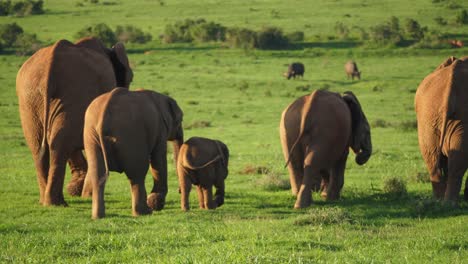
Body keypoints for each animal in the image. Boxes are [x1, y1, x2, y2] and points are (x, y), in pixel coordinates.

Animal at [15, 37, 133, 206]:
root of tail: (50, 66)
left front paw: (76, 191)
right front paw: (85, 193)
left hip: (31, 98)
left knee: (41, 144)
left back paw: (46, 202)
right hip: (73, 92)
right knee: (58, 144)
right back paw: (57, 203)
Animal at [80, 87, 183, 219]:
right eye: (180, 120)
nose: (179, 191)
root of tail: (104, 115)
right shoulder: (160, 129)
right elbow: (158, 158)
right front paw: (156, 204)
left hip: (91, 134)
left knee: (98, 174)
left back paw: (98, 217)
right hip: (131, 134)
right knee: (137, 175)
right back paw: (144, 212)